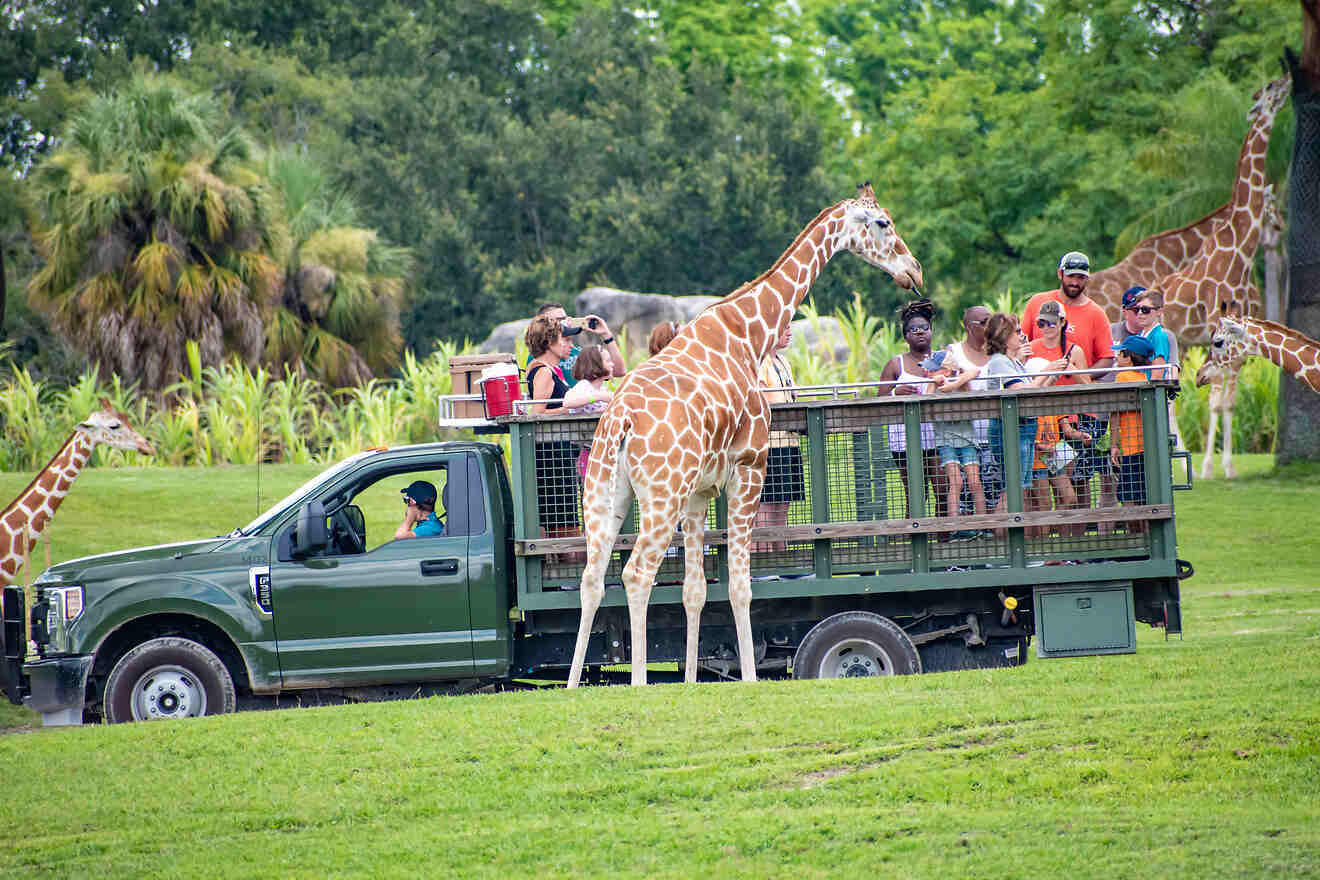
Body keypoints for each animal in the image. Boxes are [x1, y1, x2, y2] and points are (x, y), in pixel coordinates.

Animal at [567, 186, 929, 686]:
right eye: (883, 224)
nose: (914, 271)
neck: (748, 335)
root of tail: (619, 420)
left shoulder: (699, 491)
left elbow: (696, 589)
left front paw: (691, 681)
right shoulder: (750, 468)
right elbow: (740, 584)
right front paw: (752, 678)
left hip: (606, 493)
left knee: (592, 577)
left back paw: (573, 684)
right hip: (660, 495)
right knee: (637, 574)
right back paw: (639, 683)